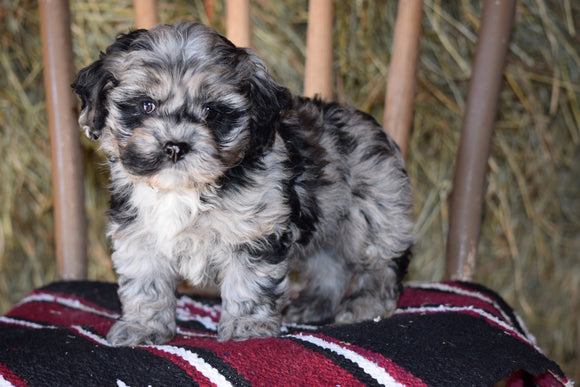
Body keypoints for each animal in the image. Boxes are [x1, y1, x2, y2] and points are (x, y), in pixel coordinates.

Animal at [72, 22, 414, 348]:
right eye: (146, 106)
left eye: (211, 111)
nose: (175, 147)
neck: (186, 190)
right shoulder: (140, 235)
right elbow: (146, 284)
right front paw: (142, 327)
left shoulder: (255, 232)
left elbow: (249, 283)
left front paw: (247, 328)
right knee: (331, 266)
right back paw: (313, 305)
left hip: (372, 214)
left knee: (382, 264)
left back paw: (366, 305)